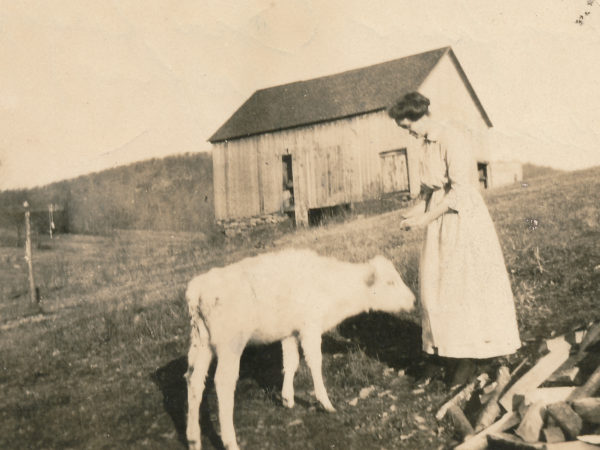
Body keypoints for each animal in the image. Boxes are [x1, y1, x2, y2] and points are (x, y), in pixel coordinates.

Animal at [185, 248, 414, 448]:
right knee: (223, 383)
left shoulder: (290, 332)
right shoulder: (310, 326)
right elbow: (315, 362)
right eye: (391, 282)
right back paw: (229, 441)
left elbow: (291, 362)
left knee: (193, 381)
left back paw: (193, 439)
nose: (413, 300)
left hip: (201, 344)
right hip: (230, 345)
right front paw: (325, 402)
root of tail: (198, 287)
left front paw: (287, 398)